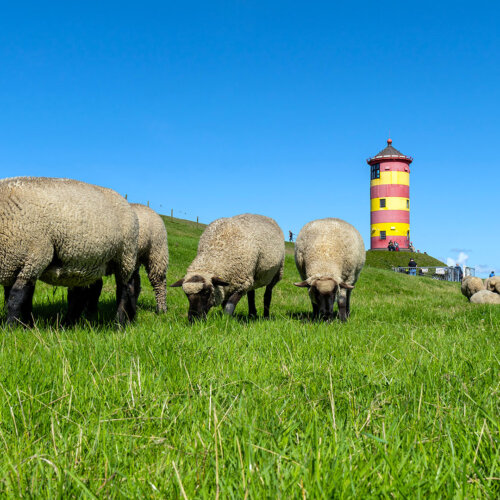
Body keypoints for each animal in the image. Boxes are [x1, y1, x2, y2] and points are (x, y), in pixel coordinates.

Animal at [0, 178, 139, 326]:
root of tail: (125, 202)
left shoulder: (33, 260)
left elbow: (16, 298)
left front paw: (11, 327)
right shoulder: (13, 265)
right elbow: (20, 299)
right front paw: (27, 325)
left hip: (125, 255)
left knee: (124, 290)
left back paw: (120, 322)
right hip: (86, 264)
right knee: (81, 294)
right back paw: (69, 323)